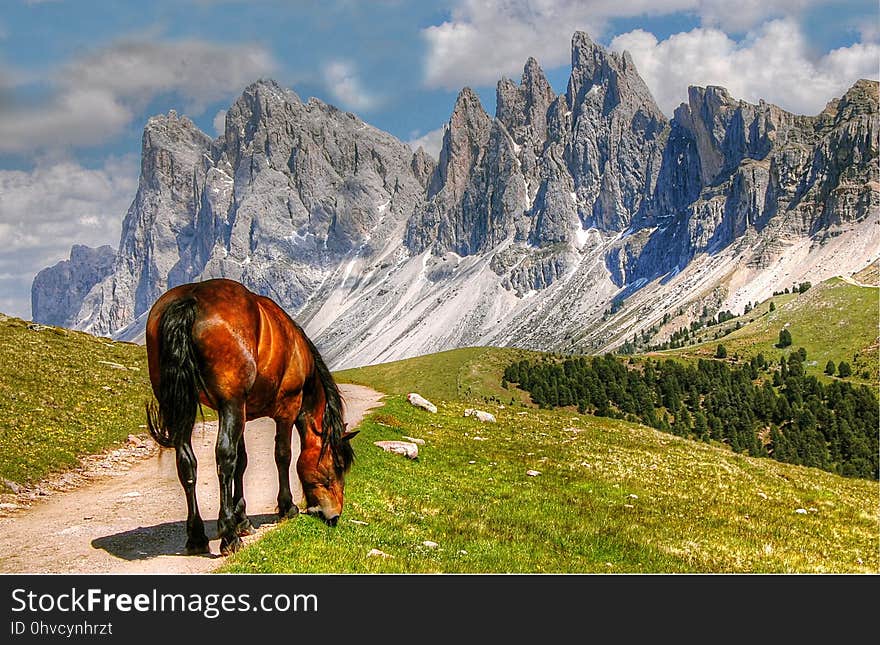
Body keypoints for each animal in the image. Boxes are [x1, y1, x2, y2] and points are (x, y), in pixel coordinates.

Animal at [143, 276, 356, 552]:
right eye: (338, 466)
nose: (335, 515)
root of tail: (190, 299)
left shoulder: (242, 412)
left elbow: (242, 462)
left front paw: (242, 519)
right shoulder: (286, 408)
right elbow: (282, 456)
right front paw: (286, 507)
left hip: (185, 407)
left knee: (187, 463)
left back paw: (197, 536)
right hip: (229, 404)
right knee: (224, 458)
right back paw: (228, 535)